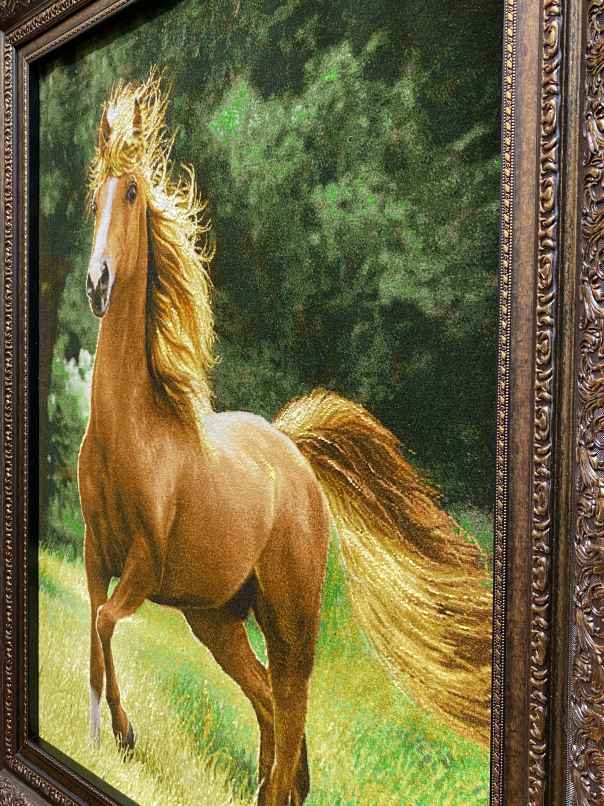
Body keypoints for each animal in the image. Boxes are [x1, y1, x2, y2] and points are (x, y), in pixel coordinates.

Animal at [78, 70, 493, 806]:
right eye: (94, 192)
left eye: (130, 194)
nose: (97, 283)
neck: (132, 432)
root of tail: (294, 452)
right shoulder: (96, 551)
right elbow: (95, 634)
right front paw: (103, 733)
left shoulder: (143, 565)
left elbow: (103, 625)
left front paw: (123, 733)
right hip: (216, 617)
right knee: (271, 707)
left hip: (290, 619)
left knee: (290, 701)